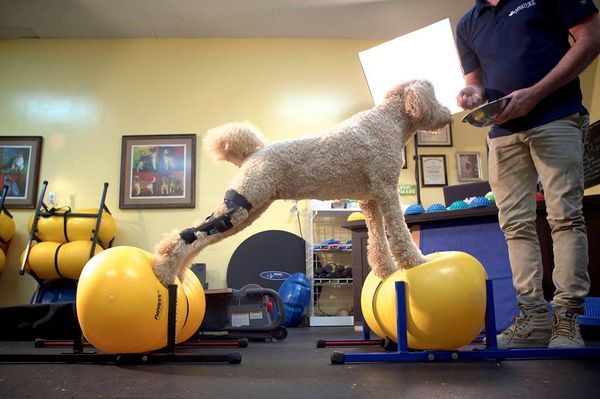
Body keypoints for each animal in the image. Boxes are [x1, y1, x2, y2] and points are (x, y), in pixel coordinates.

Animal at [152, 79, 452, 288]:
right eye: (434, 94)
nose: (449, 114)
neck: (387, 121)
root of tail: (253, 153)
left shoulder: (371, 200)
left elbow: (377, 240)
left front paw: (386, 270)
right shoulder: (387, 190)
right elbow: (399, 234)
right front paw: (417, 261)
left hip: (251, 208)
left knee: (197, 239)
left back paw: (177, 273)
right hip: (242, 205)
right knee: (189, 235)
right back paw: (164, 271)